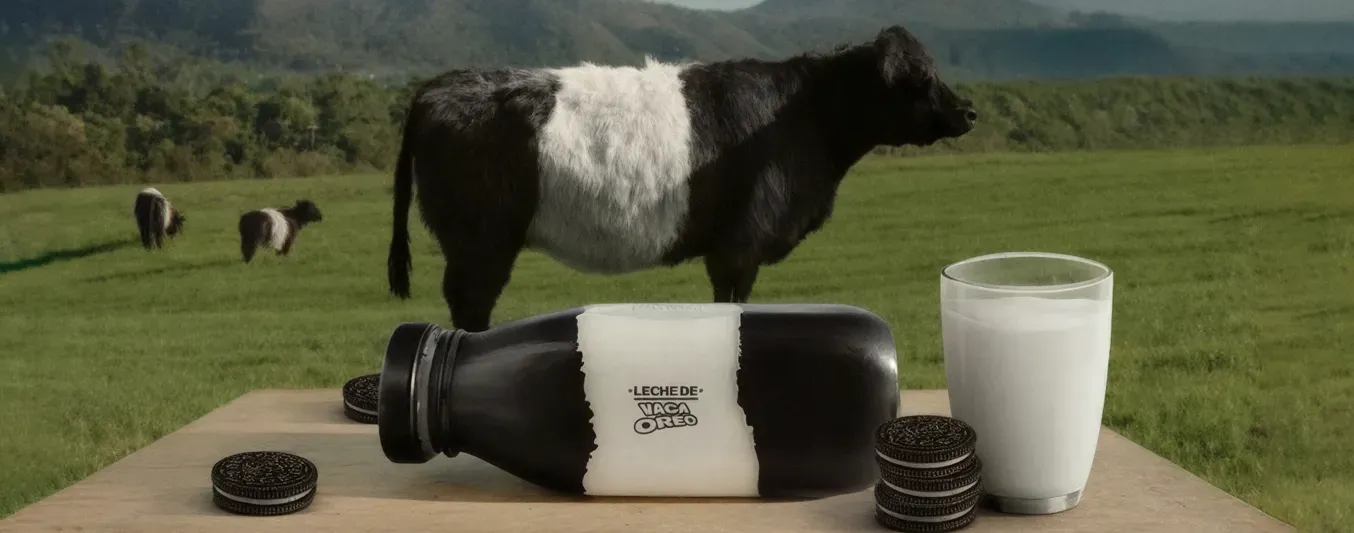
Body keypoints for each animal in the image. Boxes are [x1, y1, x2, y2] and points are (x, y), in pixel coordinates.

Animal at [386, 24, 978, 332]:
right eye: (919, 77)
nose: (969, 112)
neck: (805, 116)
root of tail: (437, 86)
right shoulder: (739, 246)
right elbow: (731, 305)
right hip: (481, 244)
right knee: (470, 306)